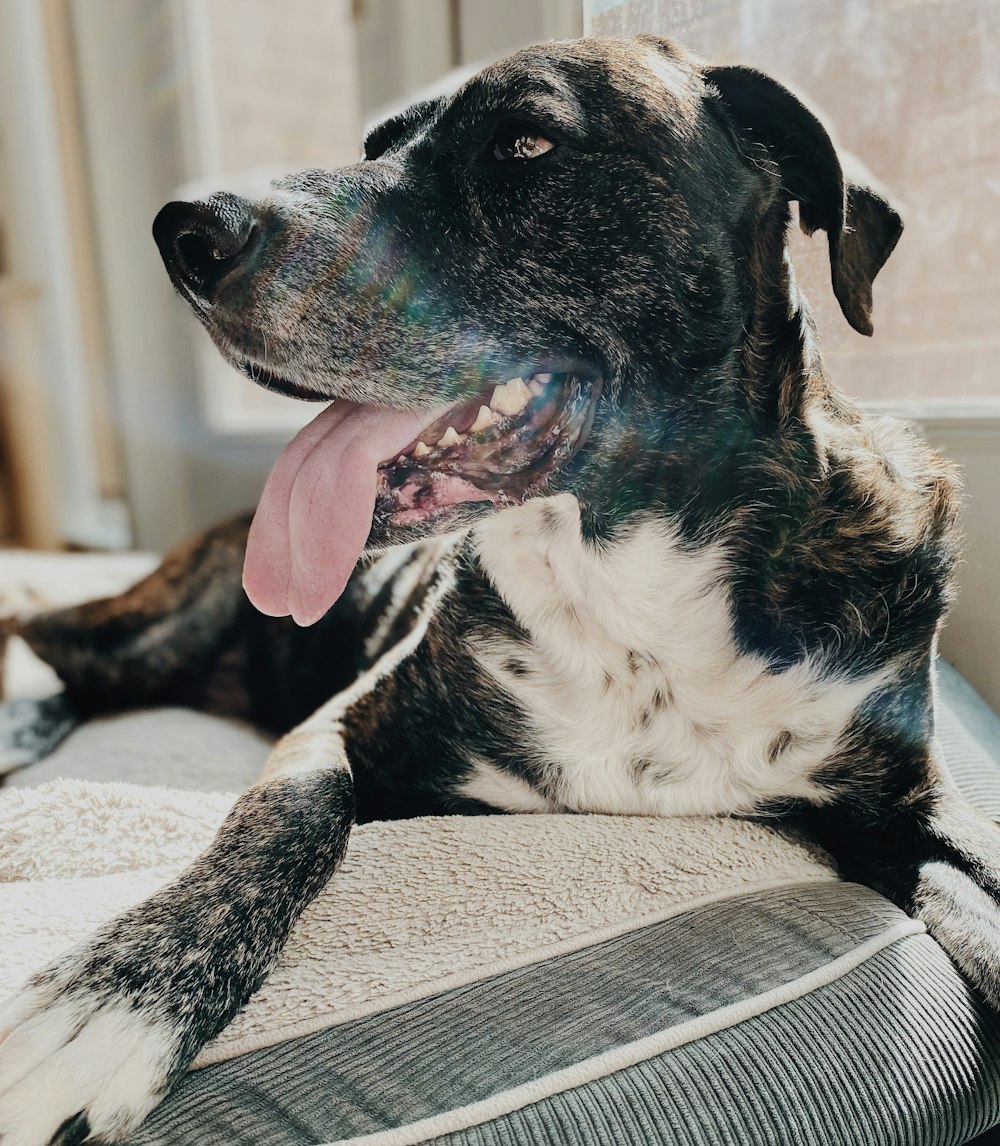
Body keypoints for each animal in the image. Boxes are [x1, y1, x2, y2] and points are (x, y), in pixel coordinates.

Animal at [0, 35, 989, 1146]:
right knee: (48, 643)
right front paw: (107, 1006)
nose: (184, 233)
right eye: (377, 145)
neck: (630, 580)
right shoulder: (334, 729)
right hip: (162, 628)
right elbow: (282, 822)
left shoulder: (912, 803)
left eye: (524, 143)